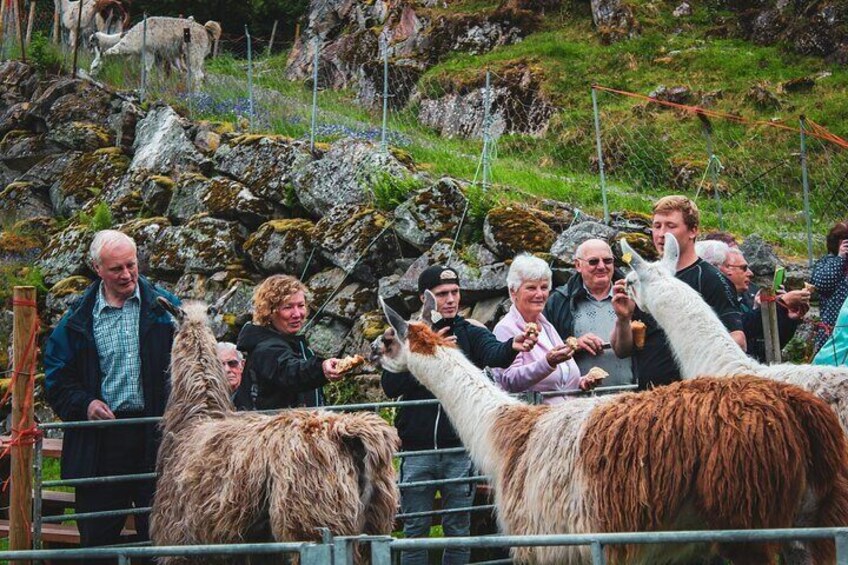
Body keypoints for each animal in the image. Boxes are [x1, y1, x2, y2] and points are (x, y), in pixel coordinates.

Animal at [90, 16, 222, 86]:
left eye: (95, 66)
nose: (91, 76)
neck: (134, 37)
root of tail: (206, 30)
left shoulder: (149, 51)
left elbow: (146, 69)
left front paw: (146, 85)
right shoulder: (159, 55)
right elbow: (159, 72)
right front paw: (160, 85)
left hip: (194, 52)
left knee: (198, 75)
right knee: (193, 73)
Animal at [376, 294, 848, 560]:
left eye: (386, 338)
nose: (377, 358)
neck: (506, 434)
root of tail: (802, 413)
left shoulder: (548, 546)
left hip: (748, 520)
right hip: (813, 522)